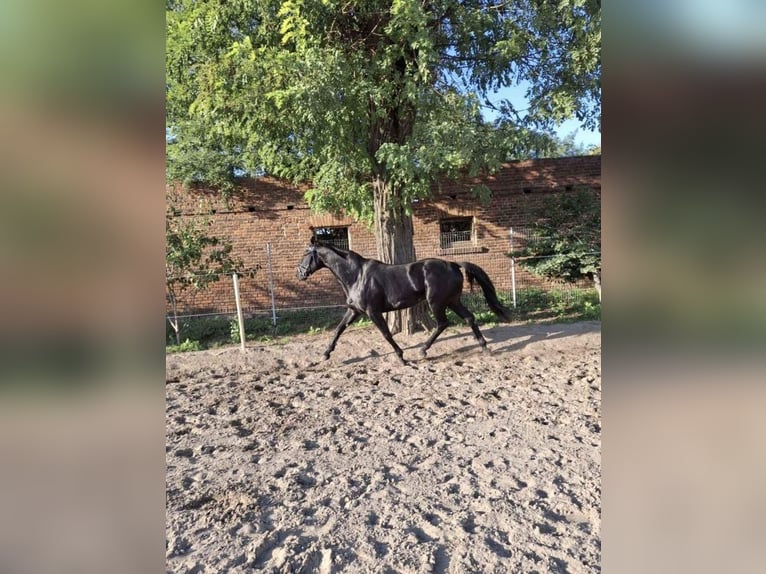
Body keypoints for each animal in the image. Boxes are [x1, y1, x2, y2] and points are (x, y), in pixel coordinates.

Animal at [296, 238, 512, 364]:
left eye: (306, 253)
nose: (299, 273)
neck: (356, 275)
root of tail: (453, 263)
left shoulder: (373, 312)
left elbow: (386, 334)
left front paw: (401, 357)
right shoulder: (354, 310)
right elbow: (339, 329)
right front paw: (325, 354)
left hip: (437, 302)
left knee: (443, 323)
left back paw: (423, 350)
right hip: (452, 301)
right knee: (469, 318)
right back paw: (484, 347)